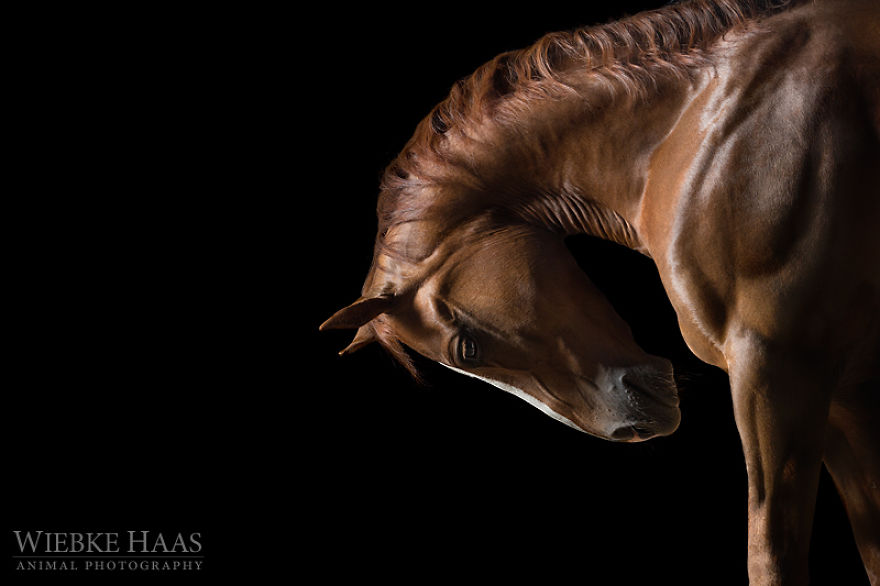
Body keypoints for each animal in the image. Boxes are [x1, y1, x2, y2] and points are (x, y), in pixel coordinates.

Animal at [320, 0, 880, 583]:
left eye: (467, 349)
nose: (628, 429)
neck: (691, 135)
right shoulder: (844, 393)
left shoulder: (776, 370)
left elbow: (770, 554)